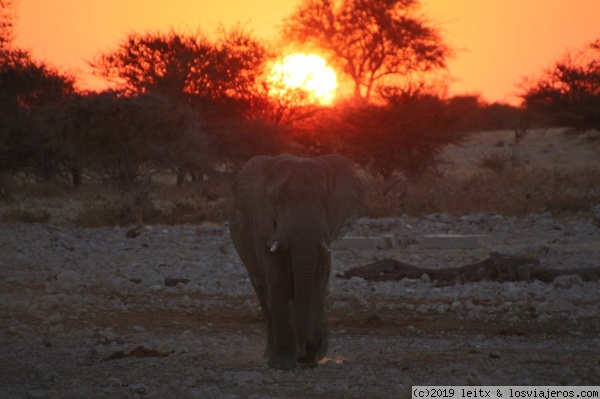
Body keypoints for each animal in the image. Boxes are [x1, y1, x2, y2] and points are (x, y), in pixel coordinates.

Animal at [229, 155, 360, 370]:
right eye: (279, 199)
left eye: (325, 200)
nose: (309, 350)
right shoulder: (263, 226)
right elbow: (276, 281)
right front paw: (283, 365)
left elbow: (317, 281)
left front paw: (309, 357)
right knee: (264, 295)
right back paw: (269, 355)